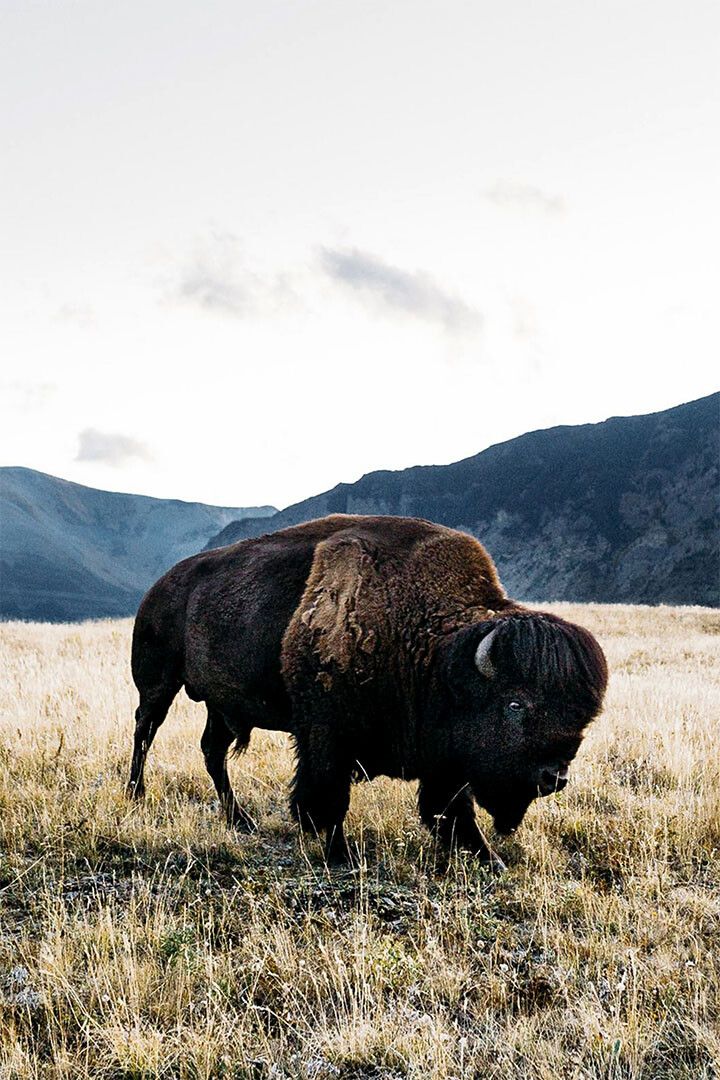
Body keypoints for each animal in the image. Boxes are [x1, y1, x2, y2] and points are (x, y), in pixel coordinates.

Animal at [128, 514, 607, 864]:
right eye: (514, 704)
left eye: (583, 718)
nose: (554, 777)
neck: (435, 652)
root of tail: (162, 585)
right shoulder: (327, 736)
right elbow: (329, 798)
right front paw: (339, 853)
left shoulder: (443, 758)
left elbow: (452, 807)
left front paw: (491, 859)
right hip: (157, 683)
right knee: (145, 731)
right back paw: (136, 795)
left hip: (222, 705)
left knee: (212, 751)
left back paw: (240, 820)